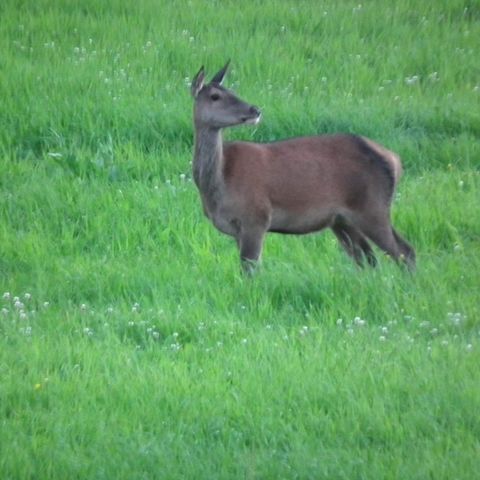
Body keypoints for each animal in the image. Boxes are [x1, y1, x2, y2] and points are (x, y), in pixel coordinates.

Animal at [189, 61, 414, 274]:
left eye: (232, 91)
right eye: (215, 96)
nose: (255, 110)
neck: (221, 183)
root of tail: (395, 160)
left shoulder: (257, 217)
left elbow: (250, 270)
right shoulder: (239, 230)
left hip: (372, 207)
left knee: (404, 251)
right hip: (343, 220)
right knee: (368, 259)